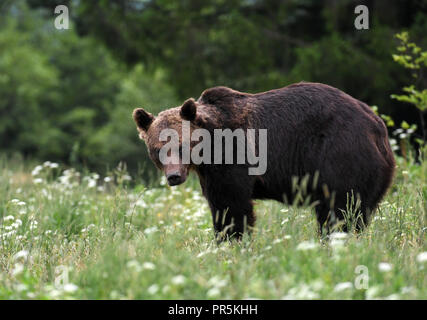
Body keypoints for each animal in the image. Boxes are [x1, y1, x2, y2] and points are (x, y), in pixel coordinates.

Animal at [132, 82, 396, 240]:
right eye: (157, 149)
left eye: (181, 145)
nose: (174, 176)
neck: (208, 150)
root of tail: (377, 126)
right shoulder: (209, 173)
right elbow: (218, 205)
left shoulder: (234, 156)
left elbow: (231, 205)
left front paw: (232, 241)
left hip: (340, 154)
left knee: (338, 209)